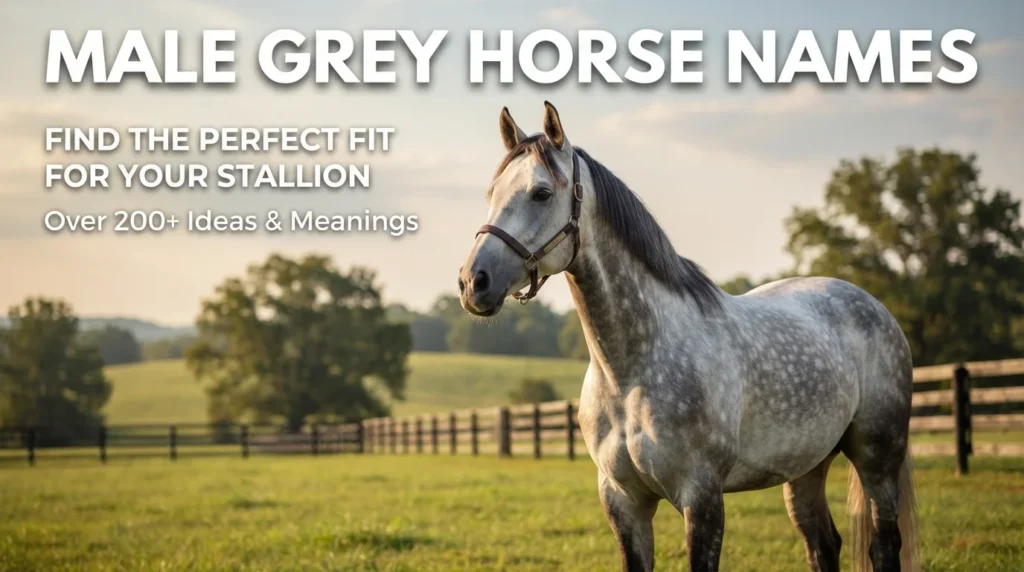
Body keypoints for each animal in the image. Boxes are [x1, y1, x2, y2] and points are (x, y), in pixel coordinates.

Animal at [457, 102, 919, 572]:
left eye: (541, 193)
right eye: (491, 193)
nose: (473, 282)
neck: (632, 372)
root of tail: (872, 305)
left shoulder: (702, 498)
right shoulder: (623, 501)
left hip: (877, 457)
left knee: (883, 544)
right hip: (806, 466)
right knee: (823, 544)